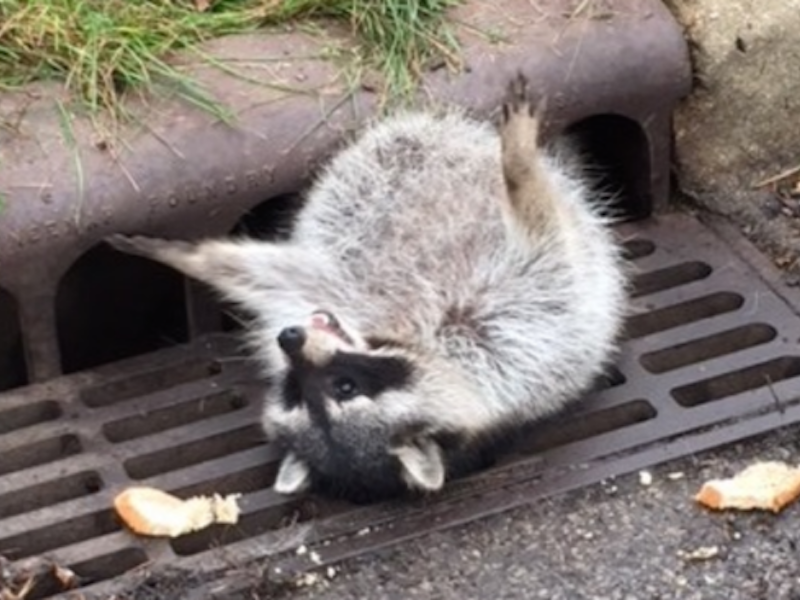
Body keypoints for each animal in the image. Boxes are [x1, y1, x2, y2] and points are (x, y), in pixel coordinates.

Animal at [108, 75, 632, 504]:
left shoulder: (513, 326)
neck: (407, 335)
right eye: (299, 393)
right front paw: (519, 165)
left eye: (344, 386)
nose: (289, 339)